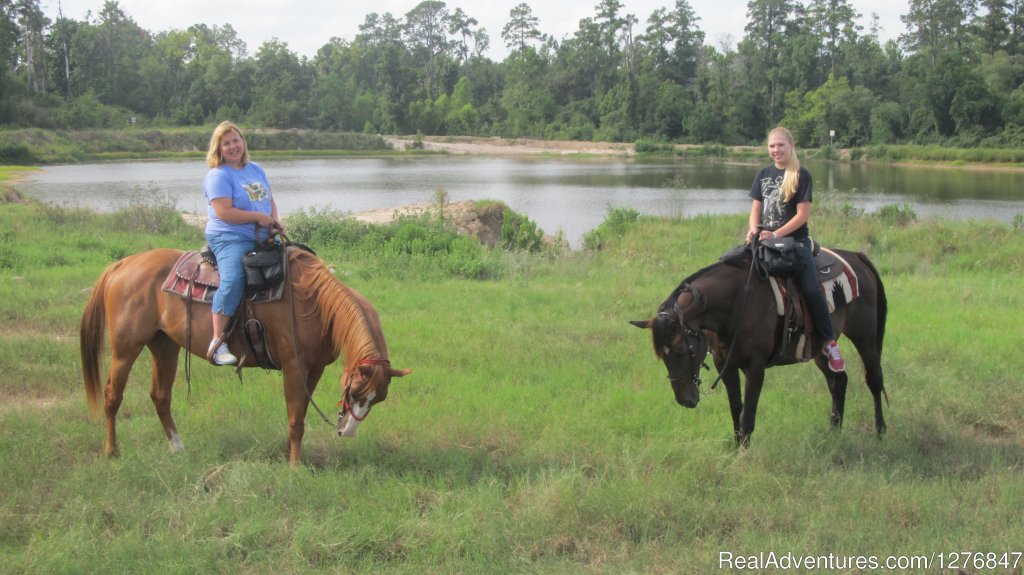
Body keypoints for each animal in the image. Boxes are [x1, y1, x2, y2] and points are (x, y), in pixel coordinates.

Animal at [80, 246, 407, 466]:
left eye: (377, 399)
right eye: (354, 391)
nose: (347, 433)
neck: (314, 303)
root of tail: (122, 264)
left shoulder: (314, 370)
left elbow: (300, 414)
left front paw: (291, 457)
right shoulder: (294, 367)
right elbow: (295, 419)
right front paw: (294, 466)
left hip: (165, 345)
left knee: (160, 396)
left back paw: (178, 448)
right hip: (126, 349)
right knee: (112, 395)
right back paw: (112, 451)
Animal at [626, 246, 884, 444]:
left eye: (682, 350)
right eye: (662, 357)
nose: (685, 400)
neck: (737, 303)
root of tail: (855, 256)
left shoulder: (755, 368)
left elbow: (747, 414)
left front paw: (744, 454)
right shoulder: (725, 365)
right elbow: (736, 409)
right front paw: (737, 448)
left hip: (865, 338)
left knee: (874, 380)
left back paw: (881, 432)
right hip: (820, 347)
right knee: (837, 382)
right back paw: (833, 433)